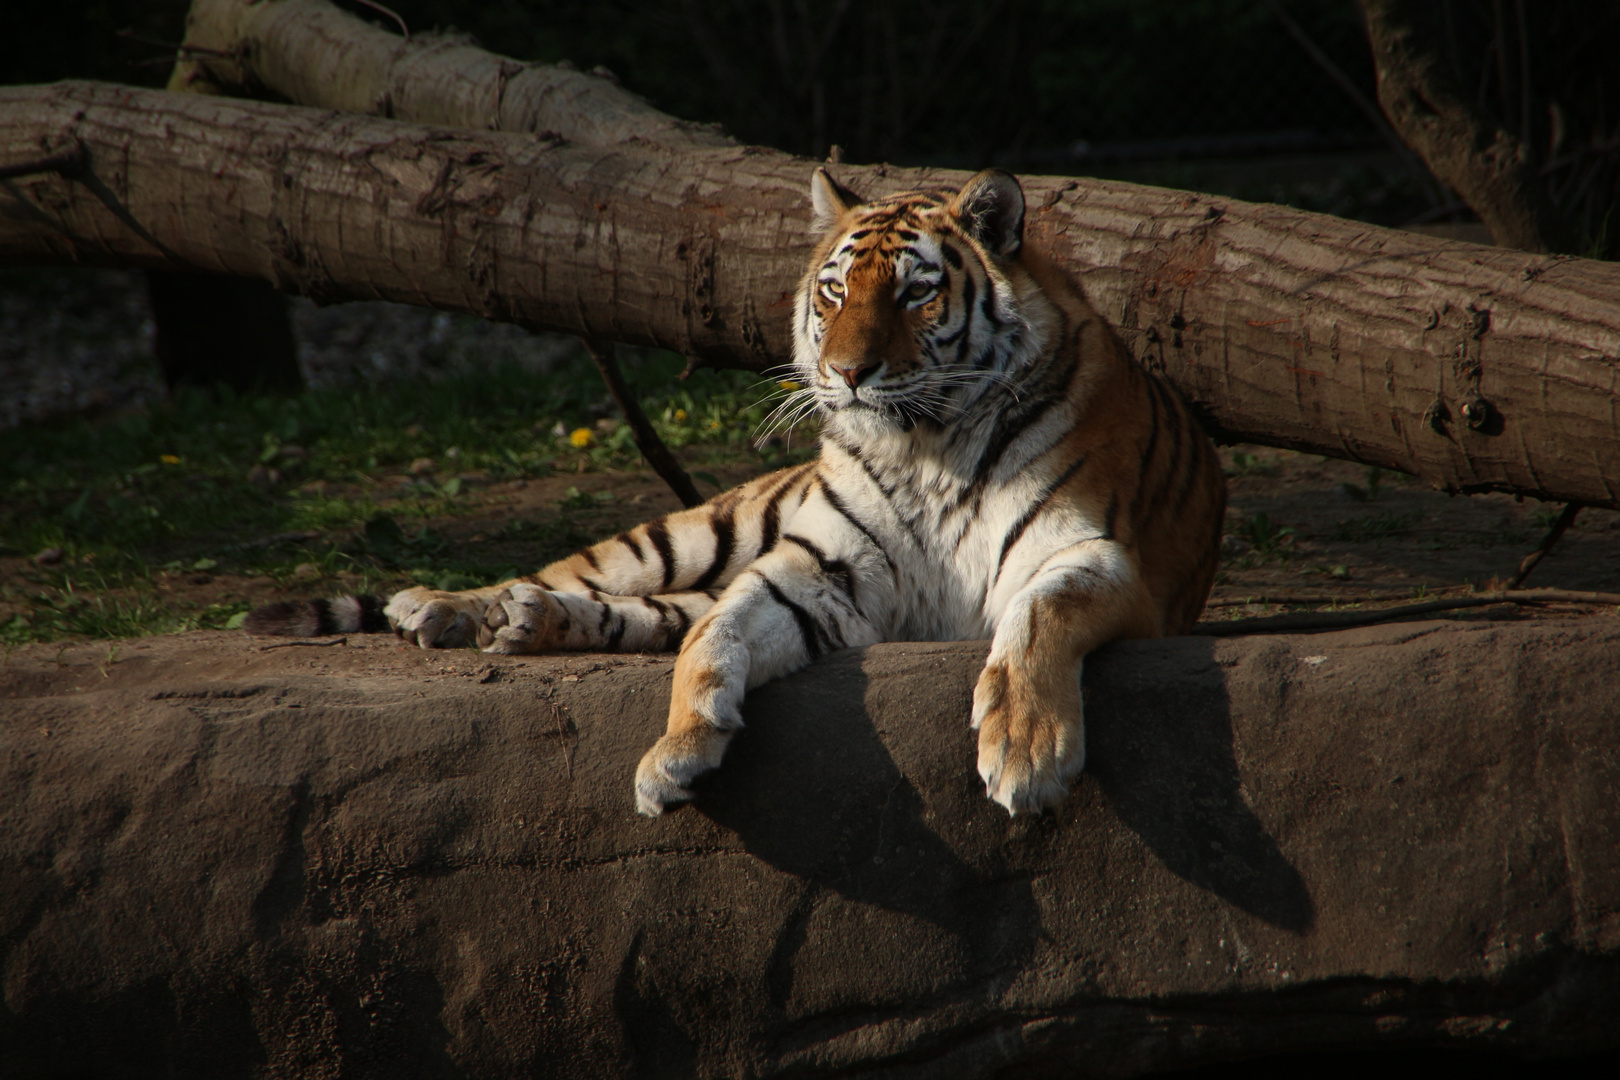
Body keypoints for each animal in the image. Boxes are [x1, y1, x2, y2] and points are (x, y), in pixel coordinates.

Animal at [246, 166, 1218, 809]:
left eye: (915, 296)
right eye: (834, 293)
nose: (846, 374)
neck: (925, 448)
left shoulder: (1092, 555)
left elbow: (1035, 621)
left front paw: (1026, 753)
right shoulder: (816, 572)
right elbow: (712, 639)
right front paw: (675, 750)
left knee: (646, 613)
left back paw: (524, 622)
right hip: (693, 532)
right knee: (604, 581)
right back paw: (446, 607)